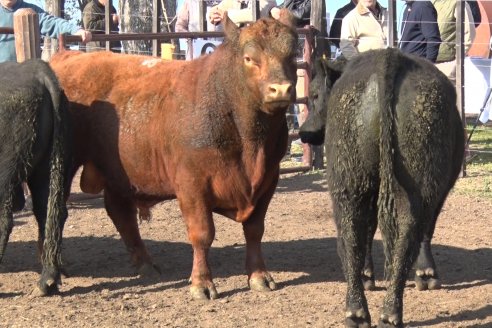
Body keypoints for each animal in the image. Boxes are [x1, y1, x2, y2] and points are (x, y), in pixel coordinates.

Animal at [300, 49, 466, 328]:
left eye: (313, 94)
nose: (303, 132)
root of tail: (389, 58)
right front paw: (426, 272)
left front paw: (370, 275)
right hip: (412, 185)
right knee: (403, 234)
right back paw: (388, 307)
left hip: (351, 182)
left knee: (355, 237)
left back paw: (362, 311)